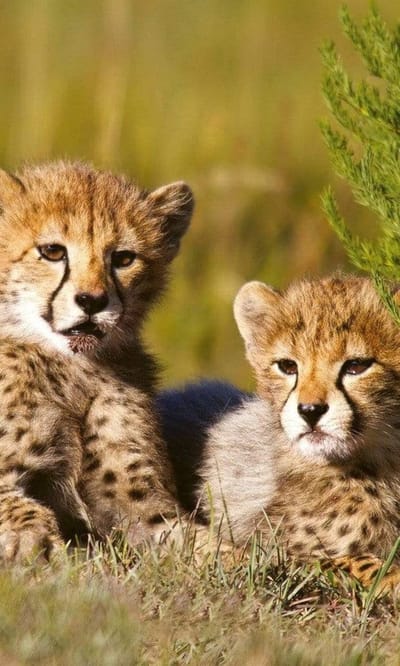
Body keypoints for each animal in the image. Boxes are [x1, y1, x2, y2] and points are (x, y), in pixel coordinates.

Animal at [0, 160, 193, 562]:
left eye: (123, 259)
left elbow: (200, 543)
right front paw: (34, 541)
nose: (92, 301)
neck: (71, 368)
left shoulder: (137, 504)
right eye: (52, 252)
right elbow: (18, 504)